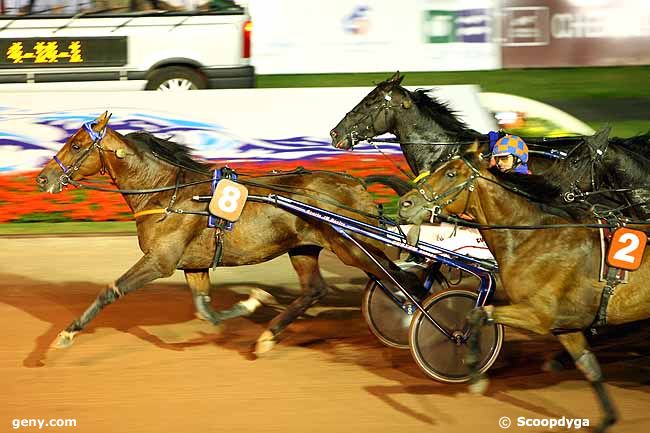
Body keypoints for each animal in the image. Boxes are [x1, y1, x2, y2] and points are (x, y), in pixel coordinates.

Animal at [35, 111, 418, 354]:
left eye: (76, 145)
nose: (42, 178)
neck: (165, 193)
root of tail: (356, 181)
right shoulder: (193, 265)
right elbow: (206, 311)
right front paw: (251, 301)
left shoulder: (159, 261)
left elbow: (110, 291)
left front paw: (65, 335)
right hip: (304, 247)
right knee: (314, 290)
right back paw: (267, 337)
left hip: (353, 247)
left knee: (401, 279)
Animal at [394, 147, 648, 430]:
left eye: (450, 173)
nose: (405, 203)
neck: (533, 237)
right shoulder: (566, 327)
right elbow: (589, 367)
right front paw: (607, 418)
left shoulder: (540, 315)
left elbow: (478, 313)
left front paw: (475, 373)